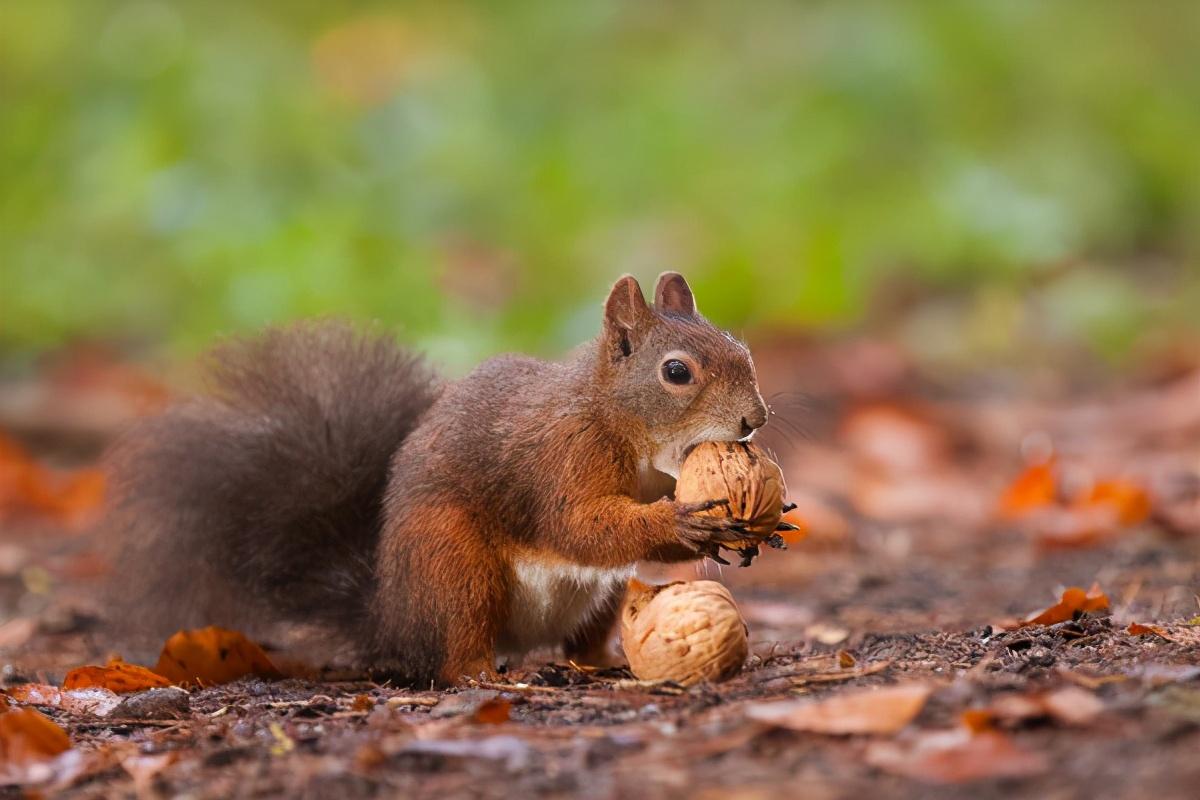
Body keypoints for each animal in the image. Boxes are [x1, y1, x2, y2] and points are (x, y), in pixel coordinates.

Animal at [108, 272, 772, 686]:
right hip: (451, 564)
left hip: (597, 597)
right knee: (455, 652)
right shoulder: (563, 456)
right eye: (676, 372)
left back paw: (603, 660)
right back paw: (488, 677)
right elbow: (578, 525)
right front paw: (682, 522)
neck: (617, 422)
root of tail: (390, 618)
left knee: (581, 638)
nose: (755, 420)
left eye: (742, 350)